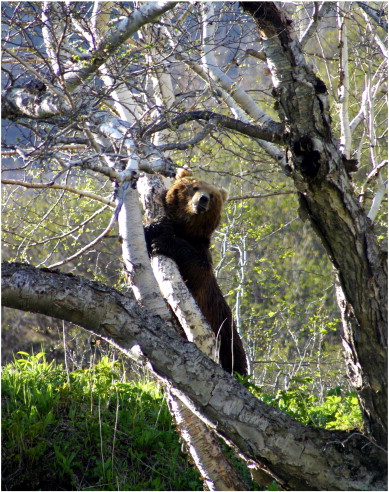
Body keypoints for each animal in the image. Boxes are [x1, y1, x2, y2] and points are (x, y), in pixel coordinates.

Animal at [144, 169, 247, 376]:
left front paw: (163, 242)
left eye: (213, 195)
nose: (203, 199)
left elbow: (196, 268)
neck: (185, 230)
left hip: (228, 337)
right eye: (194, 187)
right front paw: (155, 225)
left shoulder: (201, 253)